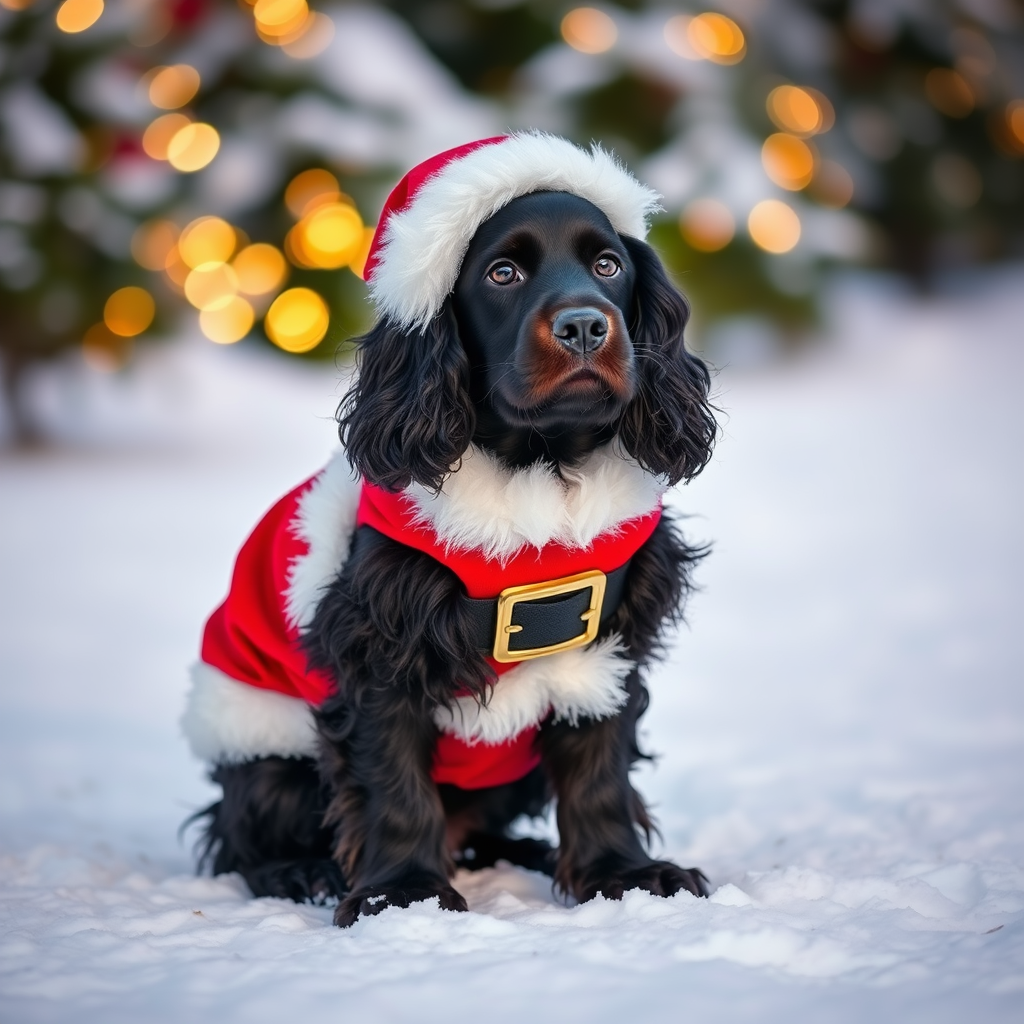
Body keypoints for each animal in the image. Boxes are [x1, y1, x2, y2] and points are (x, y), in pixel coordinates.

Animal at [188, 132, 720, 925]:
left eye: (608, 265)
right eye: (502, 272)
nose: (586, 324)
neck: (539, 479)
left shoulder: (609, 639)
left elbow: (599, 770)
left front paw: (623, 873)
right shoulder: (381, 644)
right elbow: (393, 782)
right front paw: (403, 892)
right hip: (267, 752)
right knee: (237, 840)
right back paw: (302, 871)